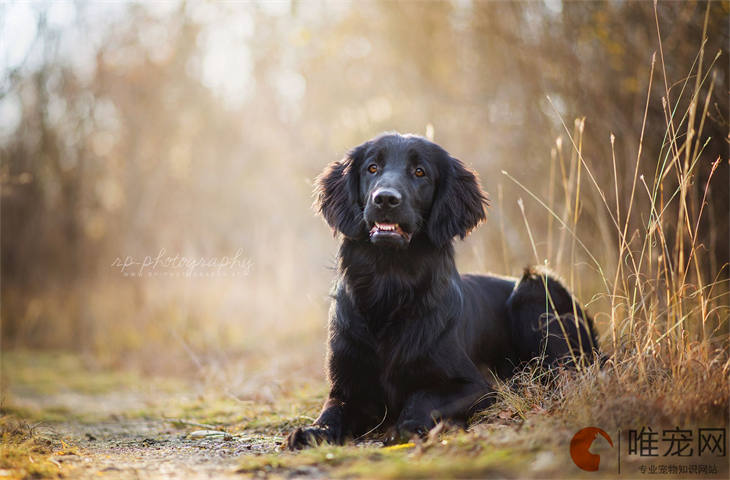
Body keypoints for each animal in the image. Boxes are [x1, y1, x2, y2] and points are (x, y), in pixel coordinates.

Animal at [286, 132, 596, 450]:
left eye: (419, 172)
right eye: (372, 168)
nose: (385, 198)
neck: (389, 287)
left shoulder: (474, 386)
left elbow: (422, 397)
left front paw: (408, 426)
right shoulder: (348, 386)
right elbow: (333, 410)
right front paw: (314, 431)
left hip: (533, 289)